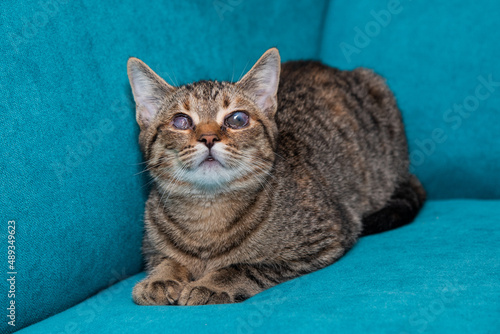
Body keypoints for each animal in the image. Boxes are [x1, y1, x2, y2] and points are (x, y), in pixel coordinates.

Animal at [127, 47, 424, 306]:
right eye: (181, 121)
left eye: (237, 119)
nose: (208, 137)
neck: (207, 213)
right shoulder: (151, 248)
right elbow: (167, 258)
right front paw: (162, 278)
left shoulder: (325, 238)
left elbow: (244, 267)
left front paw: (212, 284)